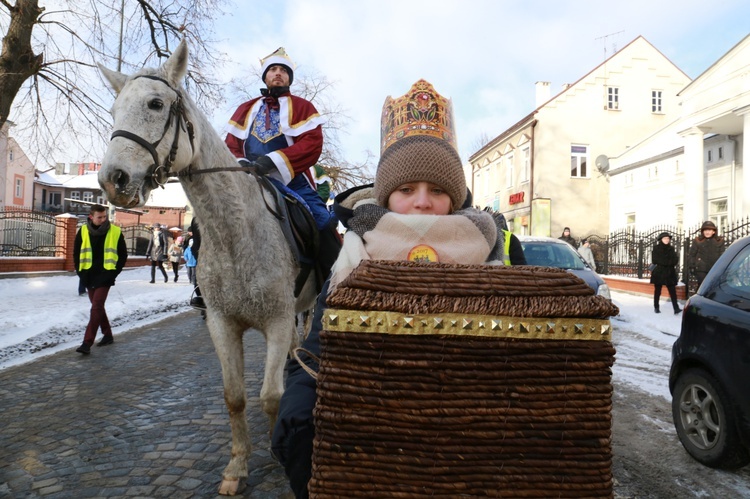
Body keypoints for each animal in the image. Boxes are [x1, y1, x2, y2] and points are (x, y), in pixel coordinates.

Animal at [97, 40, 318, 496]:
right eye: (114, 110)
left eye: (156, 103)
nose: (113, 180)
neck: (235, 231)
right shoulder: (221, 321)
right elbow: (234, 397)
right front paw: (236, 468)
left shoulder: (277, 319)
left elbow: (270, 396)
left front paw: (275, 451)